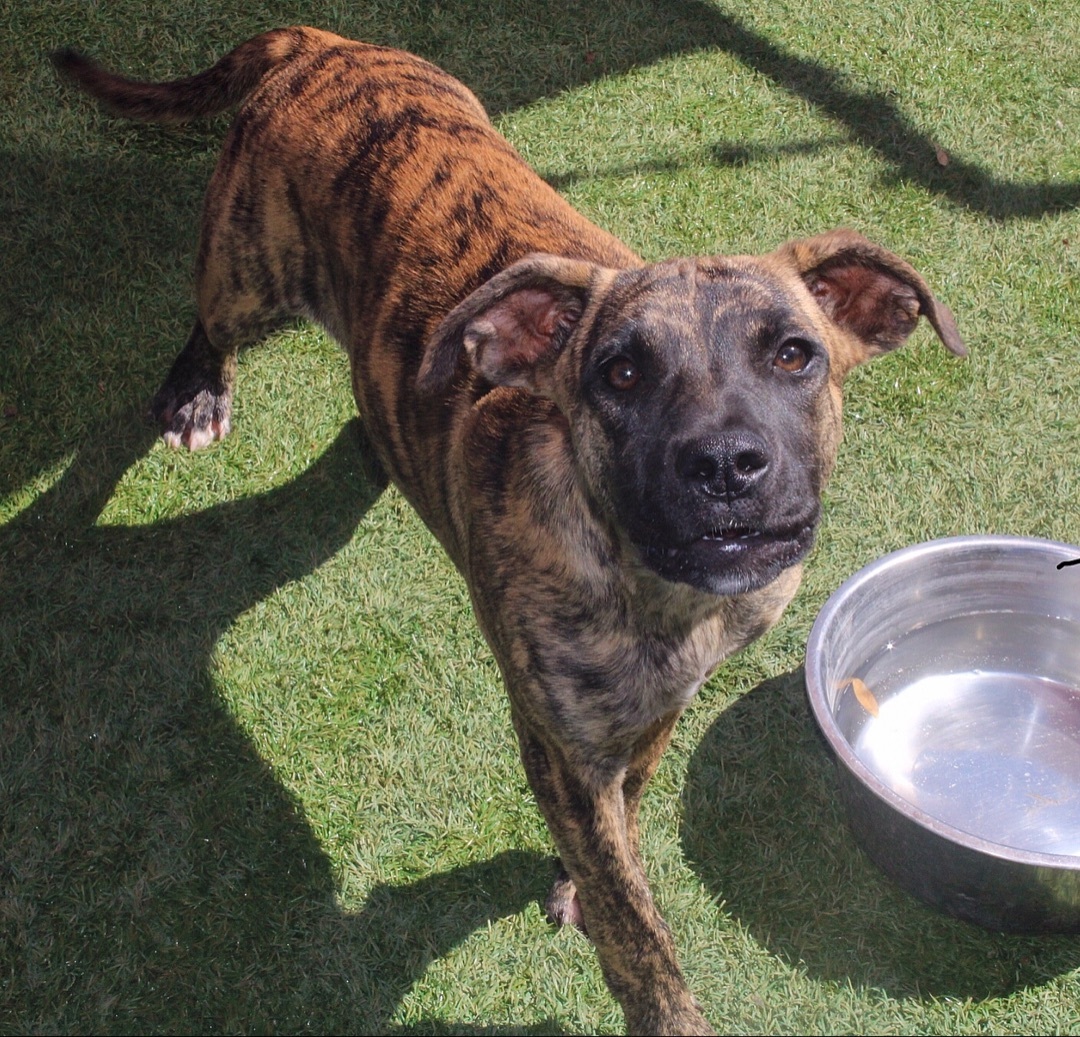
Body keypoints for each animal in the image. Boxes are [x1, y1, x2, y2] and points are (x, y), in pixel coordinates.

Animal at [54, 28, 963, 1032]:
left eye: (795, 355)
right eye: (621, 373)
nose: (725, 463)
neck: (653, 587)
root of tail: (326, 42)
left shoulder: (649, 712)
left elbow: (628, 812)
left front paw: (585, 870)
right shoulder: (562, 747)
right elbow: (635, 922)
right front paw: (656, 989)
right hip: (247, 266)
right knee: (211, 315)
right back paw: (196, 390)